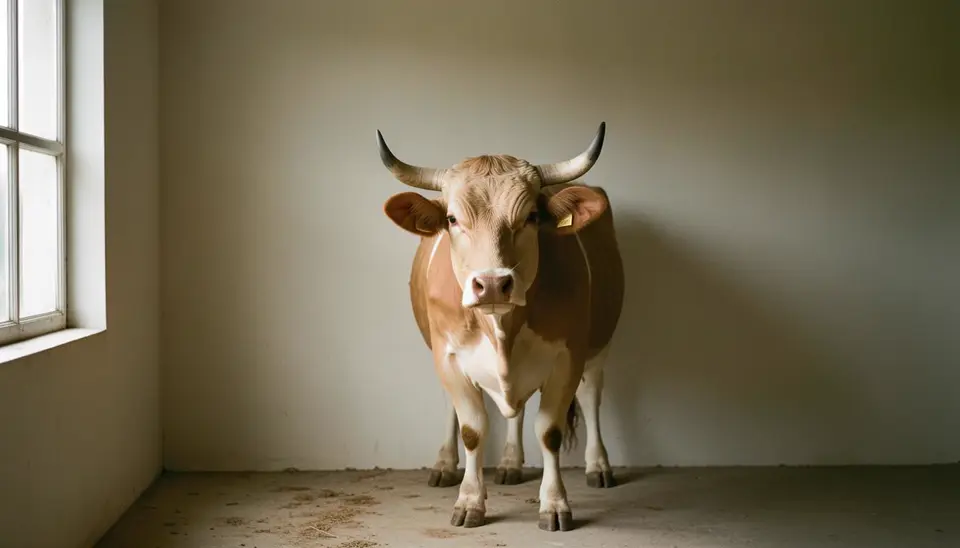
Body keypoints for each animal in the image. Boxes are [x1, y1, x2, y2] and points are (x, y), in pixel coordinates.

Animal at [378, 123, 624, 532]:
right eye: (452, 220)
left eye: (531, 216)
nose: (492, 284)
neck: (502, 328)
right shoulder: (448, 356)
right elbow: (473, 430)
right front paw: (469, 501)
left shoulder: (568, 356)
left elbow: (550, 431)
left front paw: (554, 504)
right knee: (489, 409)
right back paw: (470, 464)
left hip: (599, 345)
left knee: (590, 396)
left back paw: (597, 465)